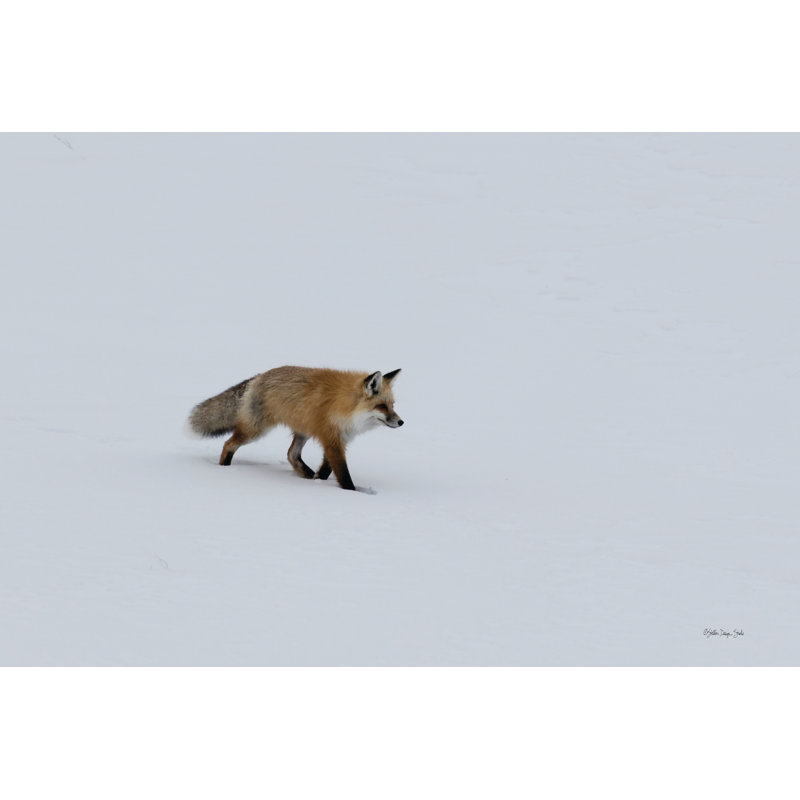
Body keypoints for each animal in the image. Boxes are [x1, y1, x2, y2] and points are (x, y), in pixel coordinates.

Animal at [188, 366, 403, 491]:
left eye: (392, 405)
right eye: (382, 406)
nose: (401, 422)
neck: (346, 407)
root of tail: (259, 376)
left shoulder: (338, 439)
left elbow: (326, 469)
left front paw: (319, 481)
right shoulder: (331, 439)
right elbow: (343, 473)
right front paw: (351, 492)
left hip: (303, 430)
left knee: (291, 454)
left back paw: (307, 475)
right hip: (255, 430)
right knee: (228, 444)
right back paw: (224, 469)